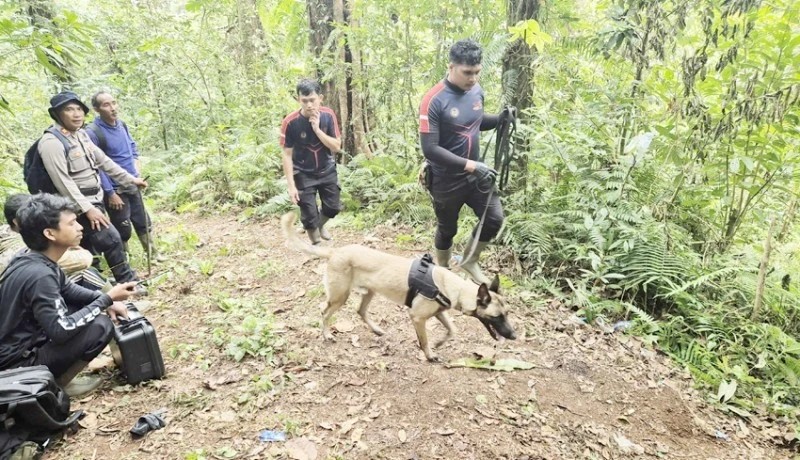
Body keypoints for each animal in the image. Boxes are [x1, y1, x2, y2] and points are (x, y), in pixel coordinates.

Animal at [284, 210, 516, 362]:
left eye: (507, 314)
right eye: (497, 317)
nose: (514, 336)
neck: (452, 287)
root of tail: (335, 251)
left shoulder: (439, 312)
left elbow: (452, 329)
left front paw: (440, 343)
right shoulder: (418, 317)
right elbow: (424, 340)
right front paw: (429, 354)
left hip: (369, 293)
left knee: (360, 311)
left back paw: (376, 329)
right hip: (340, 296)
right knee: (324, 312)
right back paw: (326, 335)